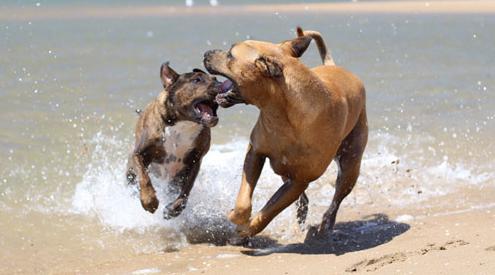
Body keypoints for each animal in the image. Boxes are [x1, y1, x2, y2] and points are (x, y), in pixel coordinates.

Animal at [127, 62, 220, 220]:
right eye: (197, 80)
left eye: (215, 79)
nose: (221, 84)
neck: (182, 124)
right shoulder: (139, 154)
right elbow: (144, 177)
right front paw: (149, 201)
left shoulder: (194, 162)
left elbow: (186, 191)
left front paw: (173, 210)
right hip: (130, 172)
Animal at [203, 27, 370, 240]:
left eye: (230, 54)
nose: (206, 53)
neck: (283, 115)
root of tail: (335, 66)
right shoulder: (255, 152)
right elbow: (244, 201)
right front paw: (238, 217)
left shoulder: (300, 180)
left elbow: (269, 213)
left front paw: (247, 229)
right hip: (284, 169)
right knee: (302, 200)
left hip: (351, 164)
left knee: (336, 197)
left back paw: (326, 224)